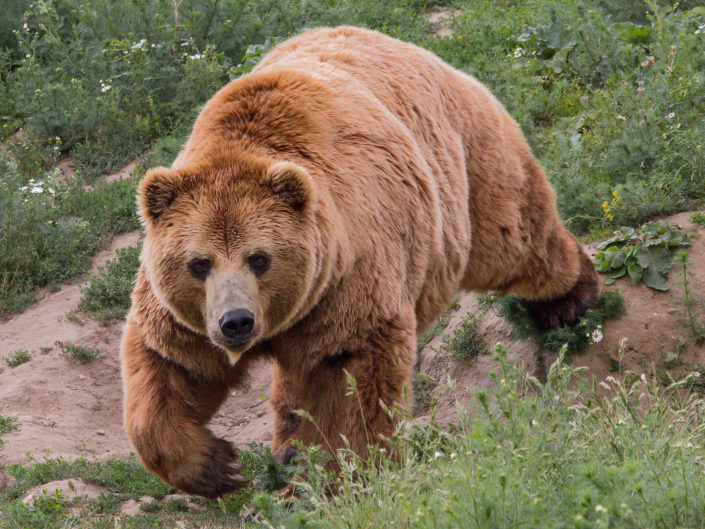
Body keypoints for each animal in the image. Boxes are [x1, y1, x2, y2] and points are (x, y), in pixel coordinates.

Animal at [121, 26, 599, 498]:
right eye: (199, 264)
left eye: (259, 258)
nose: (236, 321)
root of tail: (397, 41)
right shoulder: (187, 315)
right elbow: (171, 367)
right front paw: (217, 465)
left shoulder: (346, 276)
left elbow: (352, 380)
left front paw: (344, 476)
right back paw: (288, 446)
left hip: (462, 171)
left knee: (512, 234)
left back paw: (567, 299)